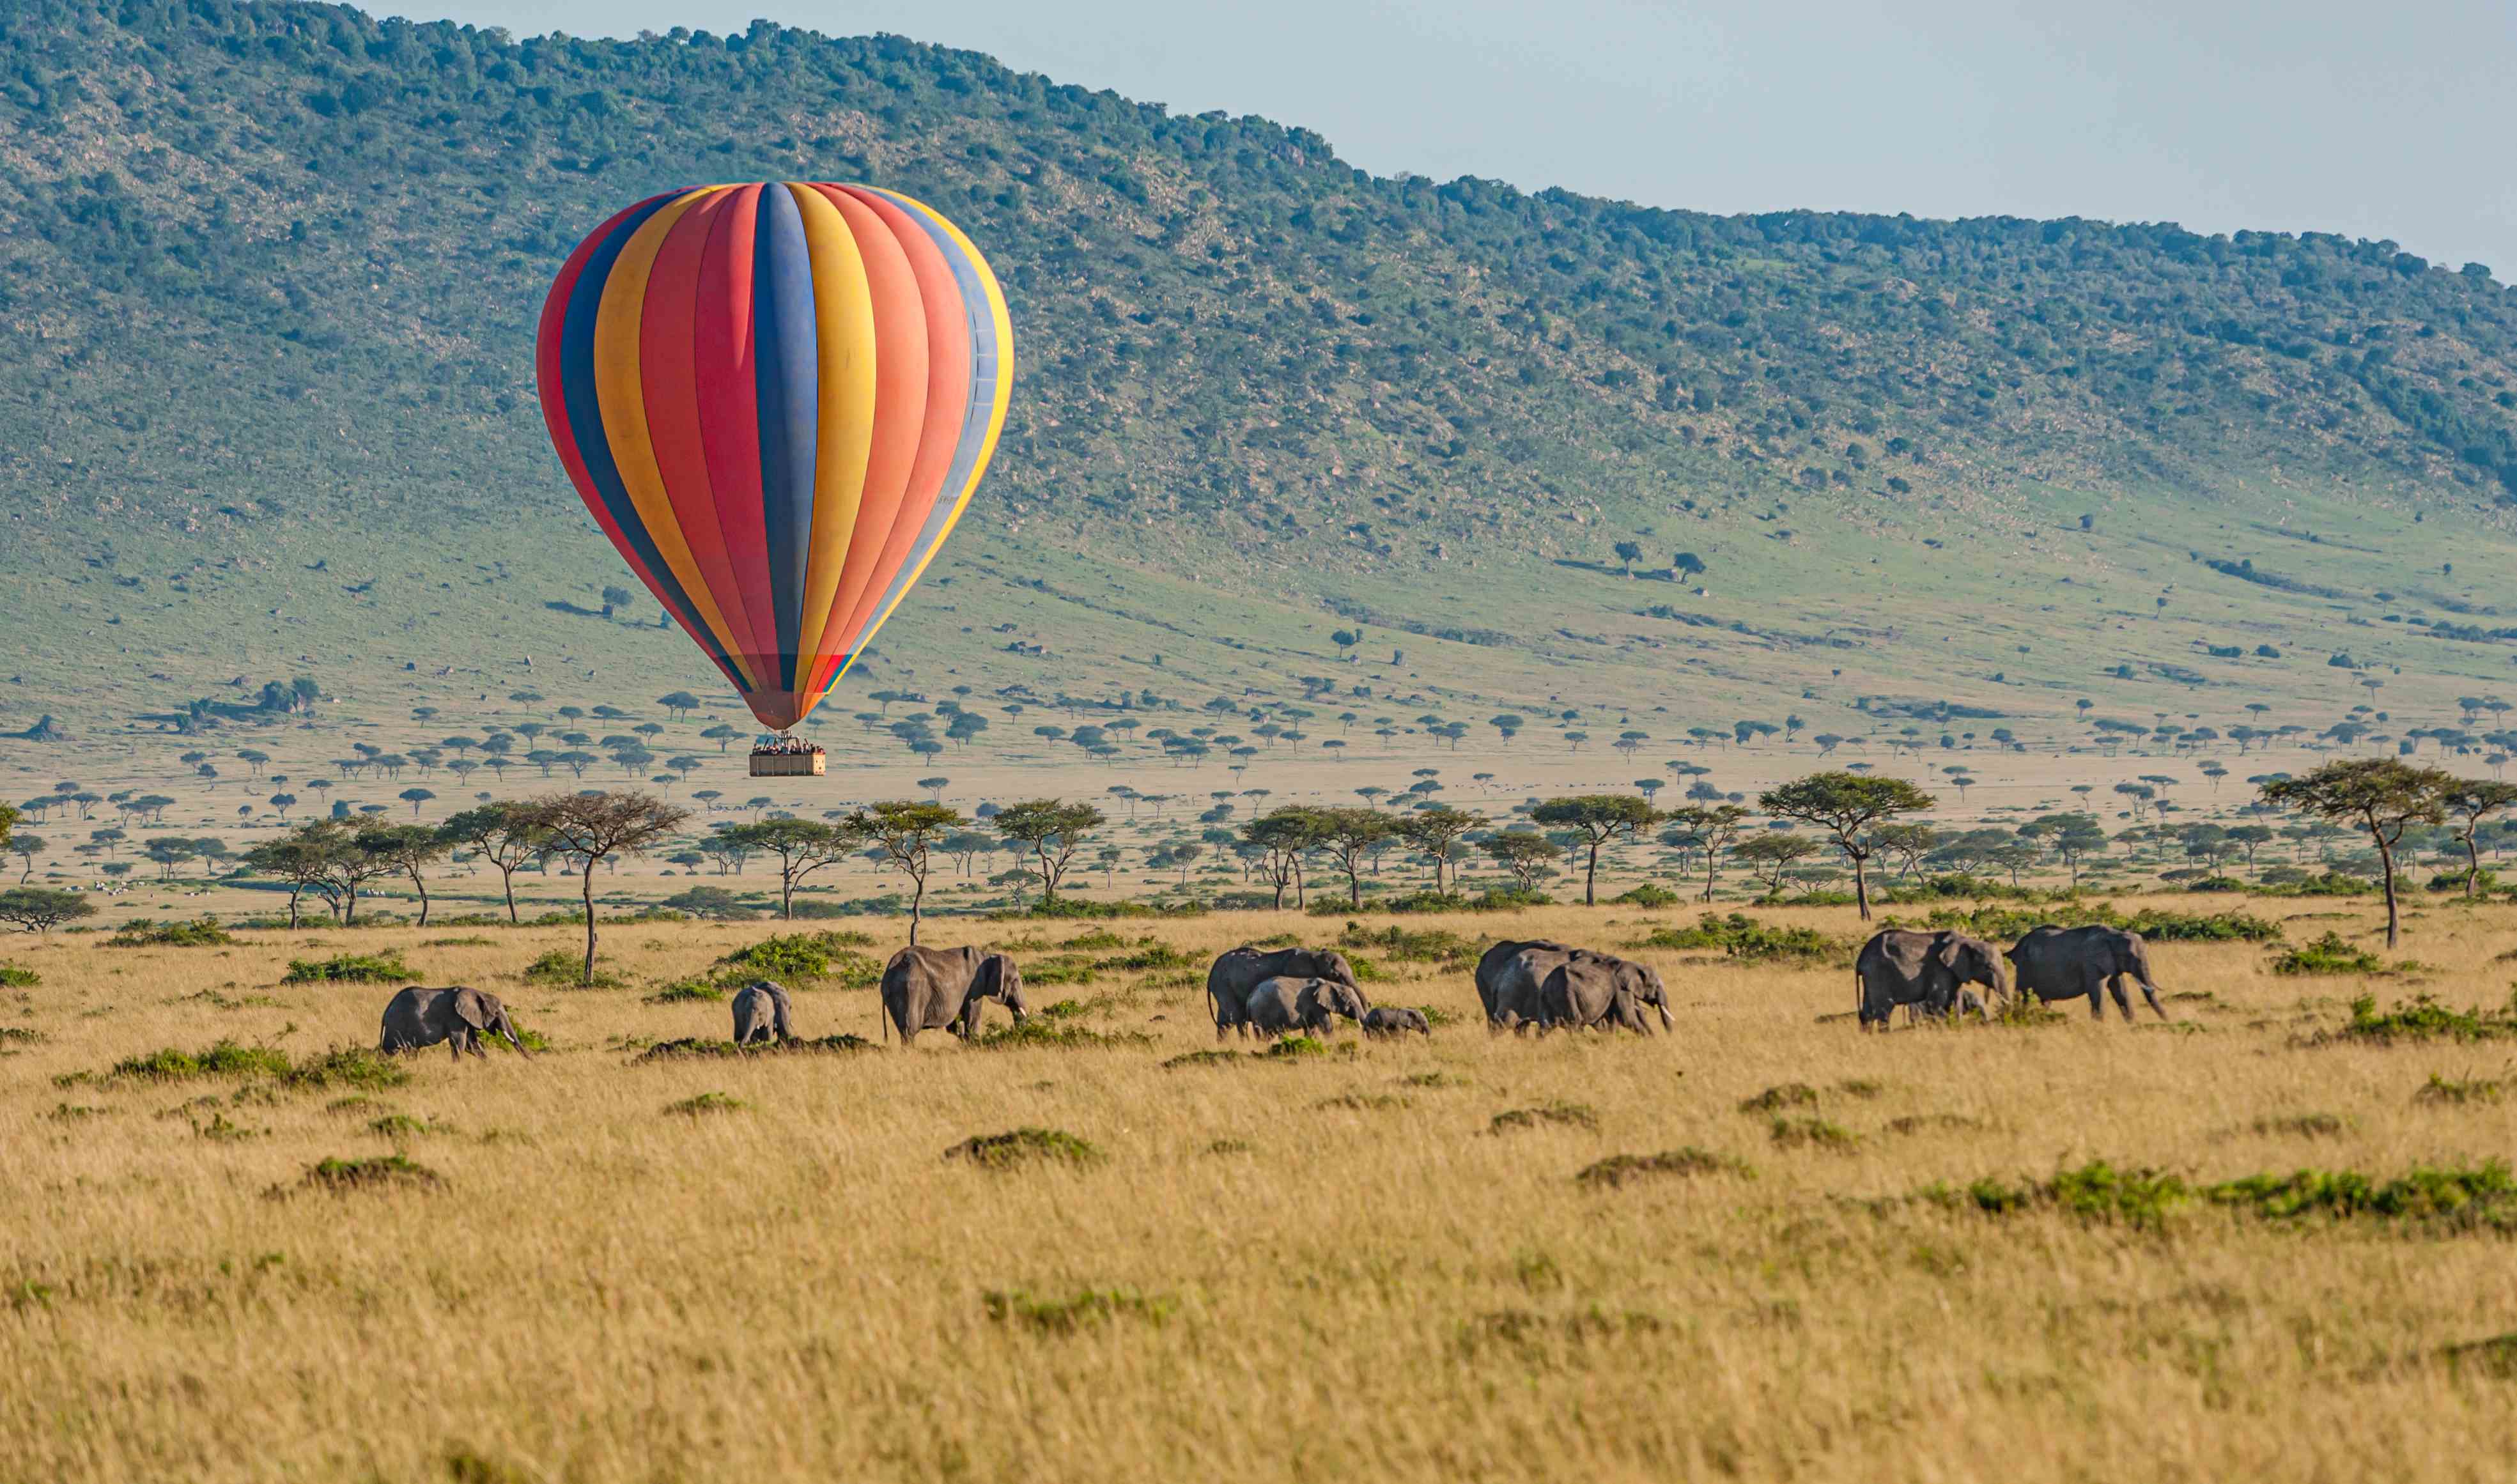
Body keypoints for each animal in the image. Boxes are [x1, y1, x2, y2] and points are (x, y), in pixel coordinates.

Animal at [379, 986, 531, 1061]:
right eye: (496, 1013)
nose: (532, 1062)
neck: (475, 992)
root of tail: (387, 1010)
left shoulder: (466, 1019)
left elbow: (472, 1046)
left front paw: (489, 1065)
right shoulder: (454, 1017)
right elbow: (459, 1043)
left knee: (409, 1051)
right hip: (396, 1025)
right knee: (389, 1051)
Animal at [880, 946, 1028, 1044]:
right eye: (1015, 980)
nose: (1017, 1034)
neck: (989, 956)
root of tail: (890, 967)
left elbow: (954, 1024)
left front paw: (962, 1037)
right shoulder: (975, 987)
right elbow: (973, 1016)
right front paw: (972, 1044)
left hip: (893, 993)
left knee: (903, 1030)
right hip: (912, 989)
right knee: (909, 1029)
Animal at [1537, 953, 1673, 1034]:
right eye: (1656, 986)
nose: (1666, 1037)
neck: (1631, 965)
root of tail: (1547, 983)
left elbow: (1613, 1019)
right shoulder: (1620, 989)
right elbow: (1627, 1019)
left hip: (1548, 999)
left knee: (1545, 1026)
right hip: (1567, 994)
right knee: (1575, 1022)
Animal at [1852, 930, 2006, 1029]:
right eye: (1989, 967)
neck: (1966, 941)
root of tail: (1860, 959)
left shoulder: (1953, 973)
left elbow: (1955, 1004)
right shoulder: (1940, 970)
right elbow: (1935, 1004)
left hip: (1871, 977)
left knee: (1867, 1013)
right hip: (1878, 973)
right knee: (1884, 1009)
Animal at [2006, 925, 2167, 1022]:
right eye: (2130, 956)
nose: (2168, 1021)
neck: (2114, 935)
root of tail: (2018, 946)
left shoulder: (2111, 964)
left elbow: (2121, 993)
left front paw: (2131, 1024)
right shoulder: (2091, 964)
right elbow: (2097, 992)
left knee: (2044, 1002)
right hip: (2024, 968)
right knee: (2023, 995)